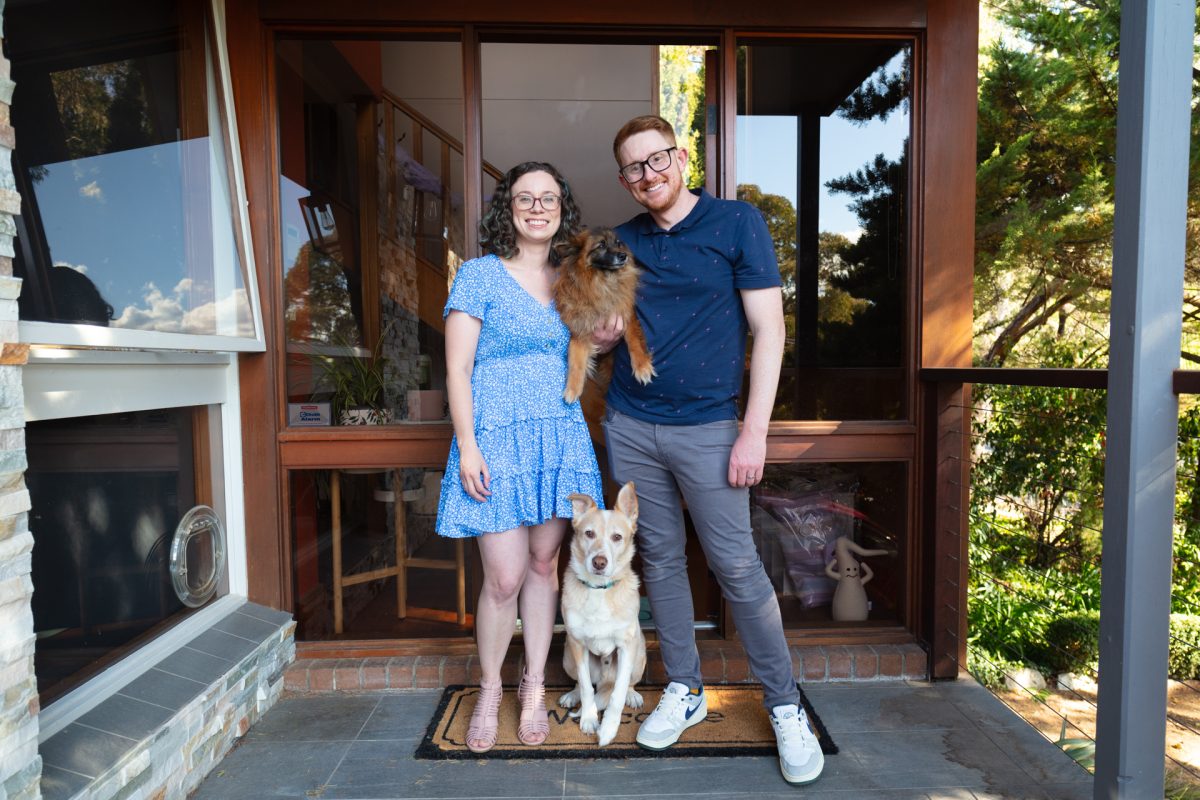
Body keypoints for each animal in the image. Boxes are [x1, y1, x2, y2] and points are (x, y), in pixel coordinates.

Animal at [554, 230, 657, 407]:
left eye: (618, 243)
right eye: (601, 245)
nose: (623, 256)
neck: (603, 281)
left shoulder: (626, 315)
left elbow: (634, 341)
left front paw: (642, 366)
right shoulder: (581, 331)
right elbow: (576, 361)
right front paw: (572, 389)